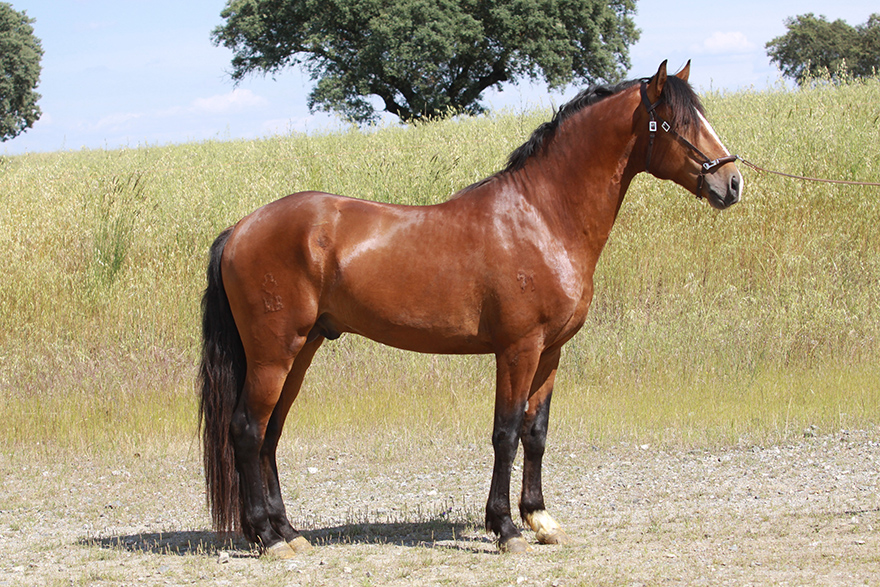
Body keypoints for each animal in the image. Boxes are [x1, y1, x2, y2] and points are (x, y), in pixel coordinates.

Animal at [199, 60, 743, 556]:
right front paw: (505, 528)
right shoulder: (518, 349)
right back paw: (269, 538)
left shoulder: (551, 352)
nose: (733, 183)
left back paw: (289, 532)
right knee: (246, 430)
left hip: (301, 350)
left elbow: (536, 432)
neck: (542, 216)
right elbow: (506, 433)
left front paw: (540, 519)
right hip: (274, 353)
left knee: (270, 433)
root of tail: (239, 230)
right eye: (678, 122)